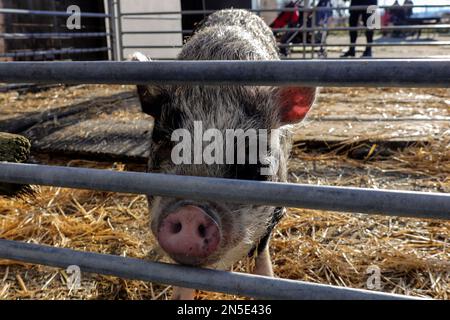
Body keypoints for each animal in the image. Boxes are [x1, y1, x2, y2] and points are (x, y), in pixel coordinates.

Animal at [133, 10, 316, 300]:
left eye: (251, 155)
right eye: (164, 139)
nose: (190, 211)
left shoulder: (278, 206)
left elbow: (262, 249)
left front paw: (267, 281)